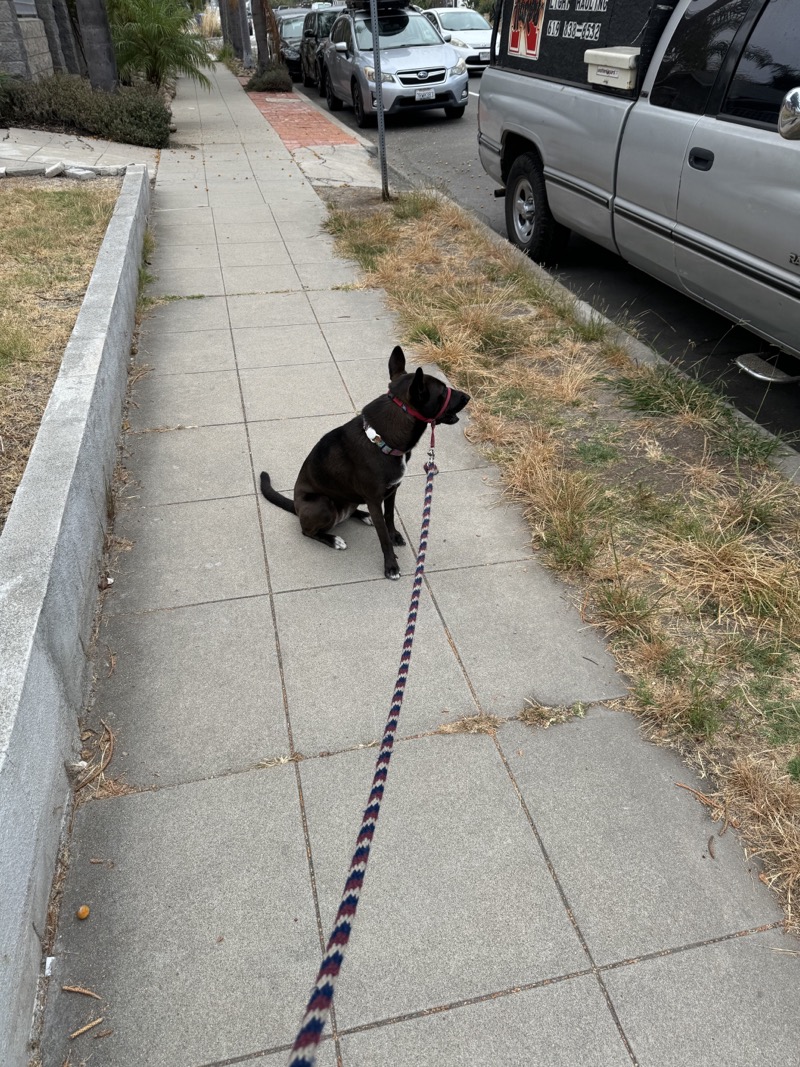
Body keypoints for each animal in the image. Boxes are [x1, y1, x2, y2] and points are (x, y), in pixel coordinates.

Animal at [260, 345, 469, 580]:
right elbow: (383, 536)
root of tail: (295, 506)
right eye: (442, 393)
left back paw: (362, 515)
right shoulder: (374, 498)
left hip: (350, 499)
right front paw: (391, 566)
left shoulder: (391, 492)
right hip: (322, 505)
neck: (381, 439)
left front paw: (395, 535)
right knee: (307, 531)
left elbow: (389, 517)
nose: (467, 397)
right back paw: (333, 539)